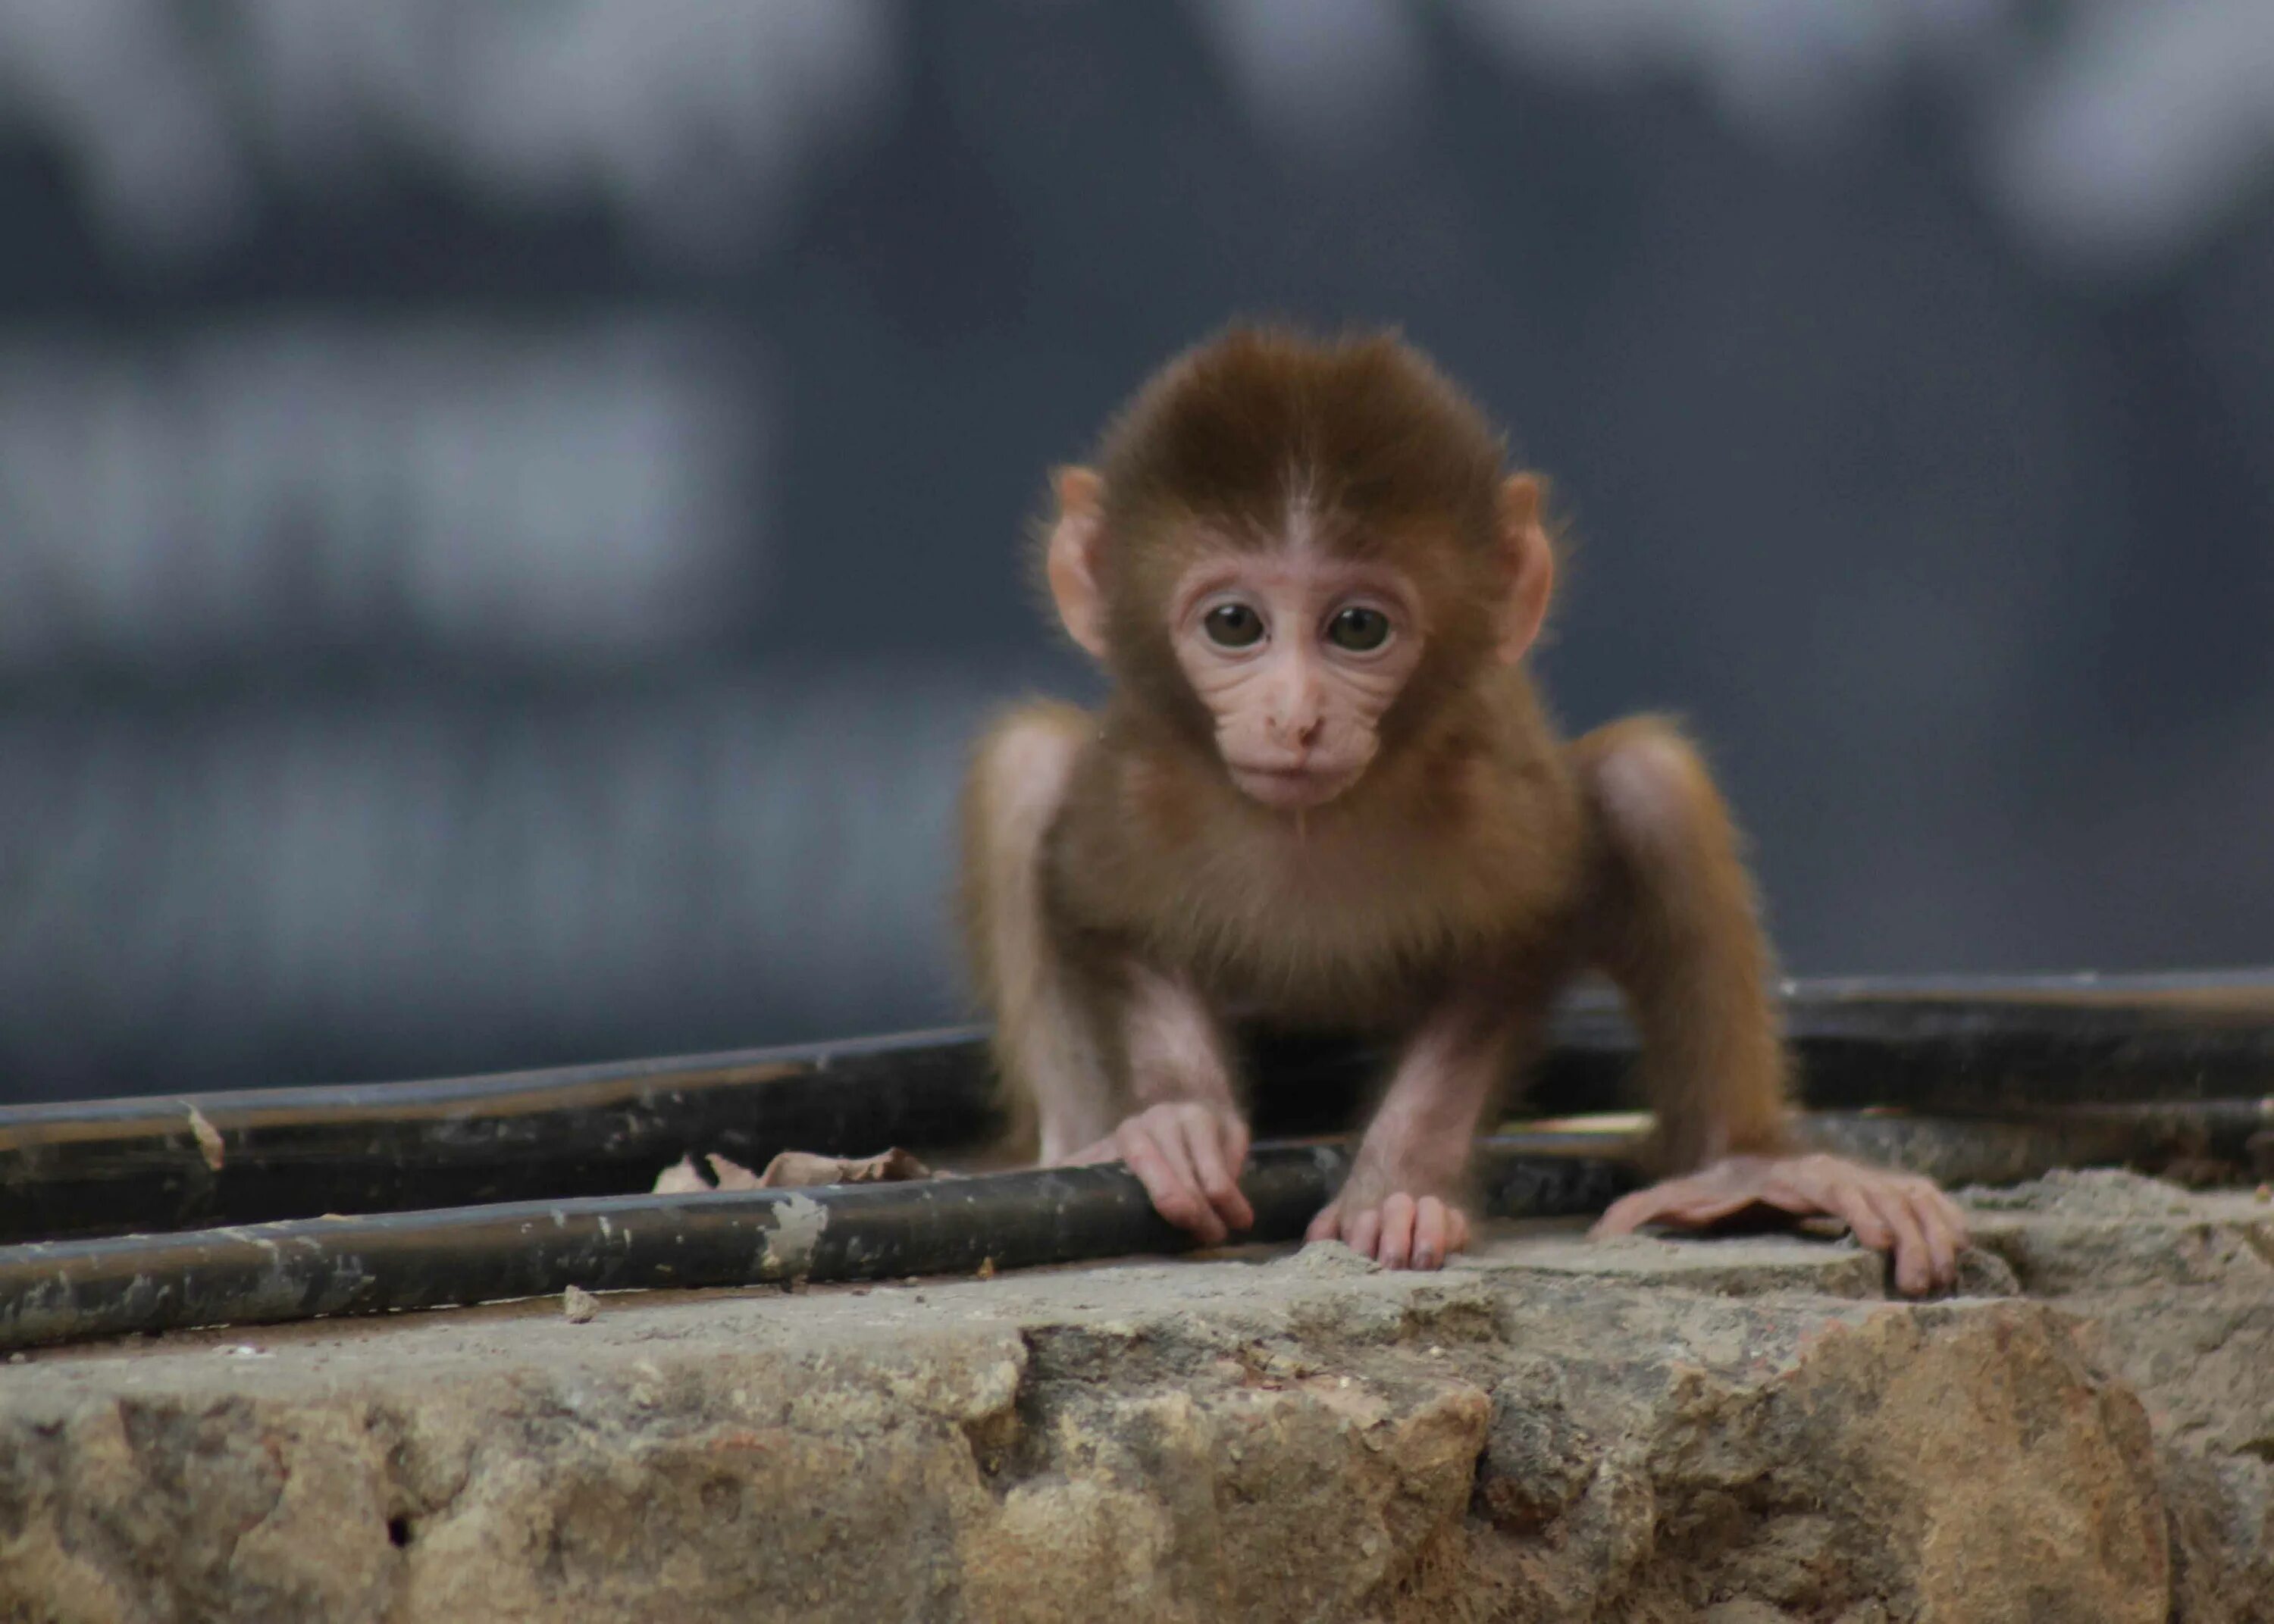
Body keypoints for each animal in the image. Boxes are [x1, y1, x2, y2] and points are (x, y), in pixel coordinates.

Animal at [951, 330, 1965, 1291]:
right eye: (1234, 624)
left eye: (1358, 628)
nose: (1296, 717)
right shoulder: (1134, 792)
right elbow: (1113, 918)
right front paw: (1181, 1120)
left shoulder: (1497, 808)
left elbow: (1503, 965)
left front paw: (1397, 1185)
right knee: (1029, 764)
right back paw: (1079, 1148)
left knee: (1648, 782)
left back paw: (1745, 1168)